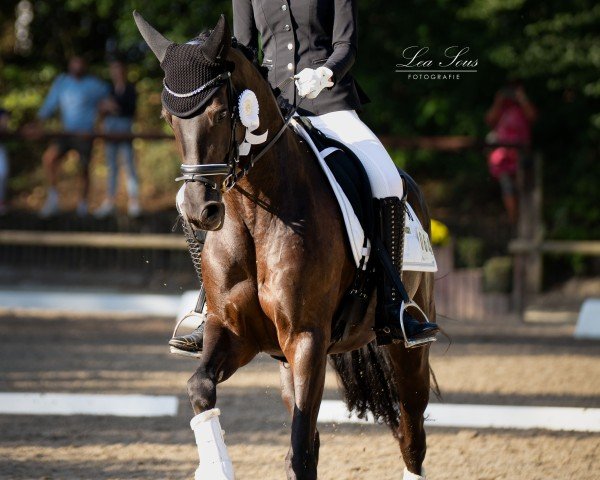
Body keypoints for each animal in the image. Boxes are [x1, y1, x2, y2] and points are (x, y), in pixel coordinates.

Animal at [135, 11, 434, 480]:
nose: (198, 210)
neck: (256, 213)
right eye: (169, 117)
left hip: (405, 348)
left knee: (412, 433)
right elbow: (200, 388)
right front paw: (216, 465)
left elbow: (299, 448)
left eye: (220, 112)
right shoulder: (235, 332)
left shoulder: (306, 339)